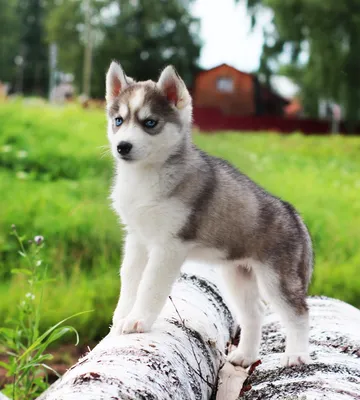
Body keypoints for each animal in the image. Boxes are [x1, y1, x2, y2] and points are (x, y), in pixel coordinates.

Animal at [106, 61, 312, 368]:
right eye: (119, 121)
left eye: (150, 123)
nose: (123, 147)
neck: (145, 177)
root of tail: (293, 214)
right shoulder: (137, 239)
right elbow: (130, 279)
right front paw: (121, 317)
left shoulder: (169, 246)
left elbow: (150, 286)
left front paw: (138, 320)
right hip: (236, 274)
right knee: (255, 312)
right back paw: (245, 356)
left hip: (277, 278)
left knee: (298, 312)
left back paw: (296, 355)